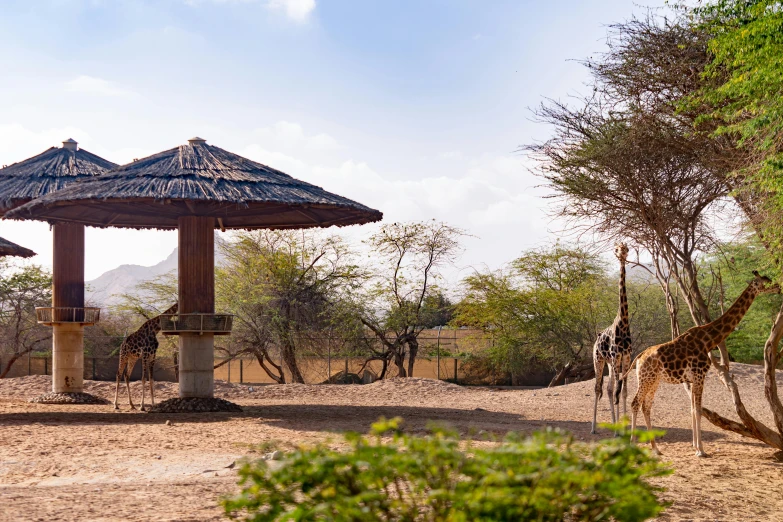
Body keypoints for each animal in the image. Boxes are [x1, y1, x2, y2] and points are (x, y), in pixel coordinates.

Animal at [620, 272, 776, 456]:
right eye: (762, 282)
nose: (776, 285)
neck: (708, 340)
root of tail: (639, 357)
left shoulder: (694, 378)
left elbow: (693, 409)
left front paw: (695, 446)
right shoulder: (700, 375)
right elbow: (699, 410)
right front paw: (701, 450)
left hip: (654, 380)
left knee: (646, 406)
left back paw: (656, 449)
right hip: (647, 378)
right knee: (635, 403)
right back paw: (632, 445)